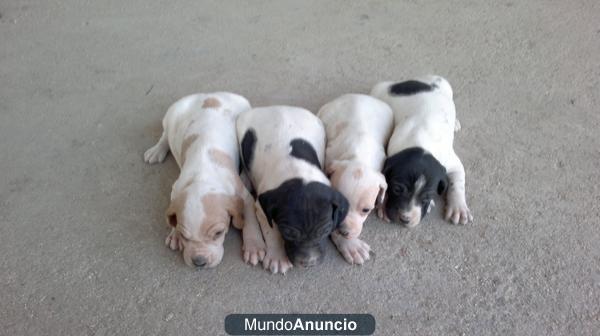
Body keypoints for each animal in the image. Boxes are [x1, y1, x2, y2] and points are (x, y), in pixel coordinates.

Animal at [143, 92, 264, 270]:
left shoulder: (244, 195)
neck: (203, 176)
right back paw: (157, 150)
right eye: (185, 236)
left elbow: (250, 219)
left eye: (218, 233)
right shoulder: (176, 188)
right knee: (166, 135)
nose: (199, 262)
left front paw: (254, 246)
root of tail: (208, 94)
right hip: (171, 115)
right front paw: (174, 234)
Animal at [238, 105, 352, 272]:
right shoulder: (262, 207)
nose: (308, 263)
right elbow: (271, 231)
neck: (298, 171)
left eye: (325, 231)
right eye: (288, 233)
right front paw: (277, 256)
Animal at [316, 94, 396, 266]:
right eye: (338, 206)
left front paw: (384, 203)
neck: (357, 155)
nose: (344, 231)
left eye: (366, 210)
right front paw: (350, 245)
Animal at [370, 76, 474, 227]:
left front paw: (458, 208)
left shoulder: (453, 164)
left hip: (446, 86)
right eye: (396, 189)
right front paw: (383, 205)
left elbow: (458, 184)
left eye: (427, 196)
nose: (405, 219)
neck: (421, 144)